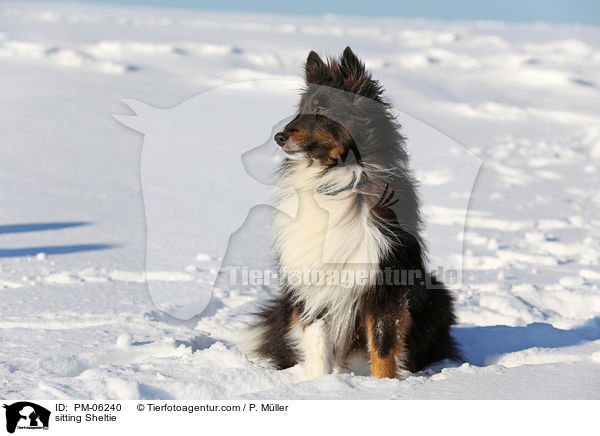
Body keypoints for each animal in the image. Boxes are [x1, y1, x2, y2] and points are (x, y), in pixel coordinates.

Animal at [243, 46, 460, 376]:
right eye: (301, 109)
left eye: (321, 110)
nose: (279, 137)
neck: (336, 176)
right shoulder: (313, 285)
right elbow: (317, 342)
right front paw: (321, 383)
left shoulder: (385, 282)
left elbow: (383, 345)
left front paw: (384, 384)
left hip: (437, 297)